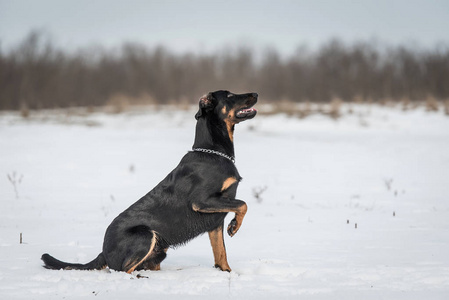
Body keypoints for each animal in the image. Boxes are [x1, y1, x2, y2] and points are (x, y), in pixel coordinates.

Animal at [43, 90, 260, 274]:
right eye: (230, 95)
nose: (256, 94)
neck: (213, 152)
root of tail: (103, 252)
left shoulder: (215, 221)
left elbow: (220, 252)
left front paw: (227, 273)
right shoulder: (203, 201)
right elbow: (243, 204)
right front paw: (234, 226)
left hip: (159, 250)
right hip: (145, 235)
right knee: (124, 270)